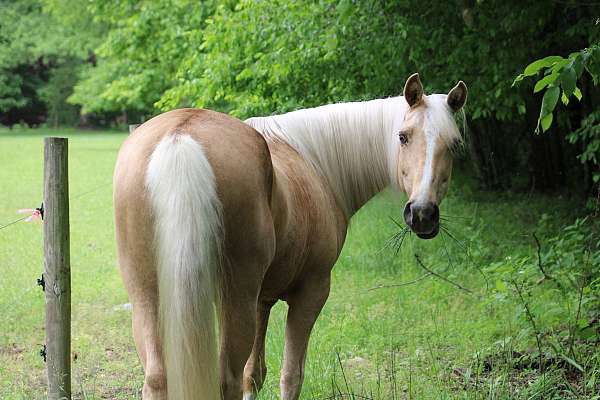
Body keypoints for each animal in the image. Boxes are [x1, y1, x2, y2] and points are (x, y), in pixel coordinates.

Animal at [115, 72, 466, 400]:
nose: (422, 214)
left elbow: (254, 374)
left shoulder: (262, 299)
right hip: (234, 297)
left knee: (158, 378)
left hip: (148, 296)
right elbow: (291, 375)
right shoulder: (310, 292)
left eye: (455, 144)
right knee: (226, 378)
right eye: (403, 137)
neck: (316, 164)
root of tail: (181, 135)